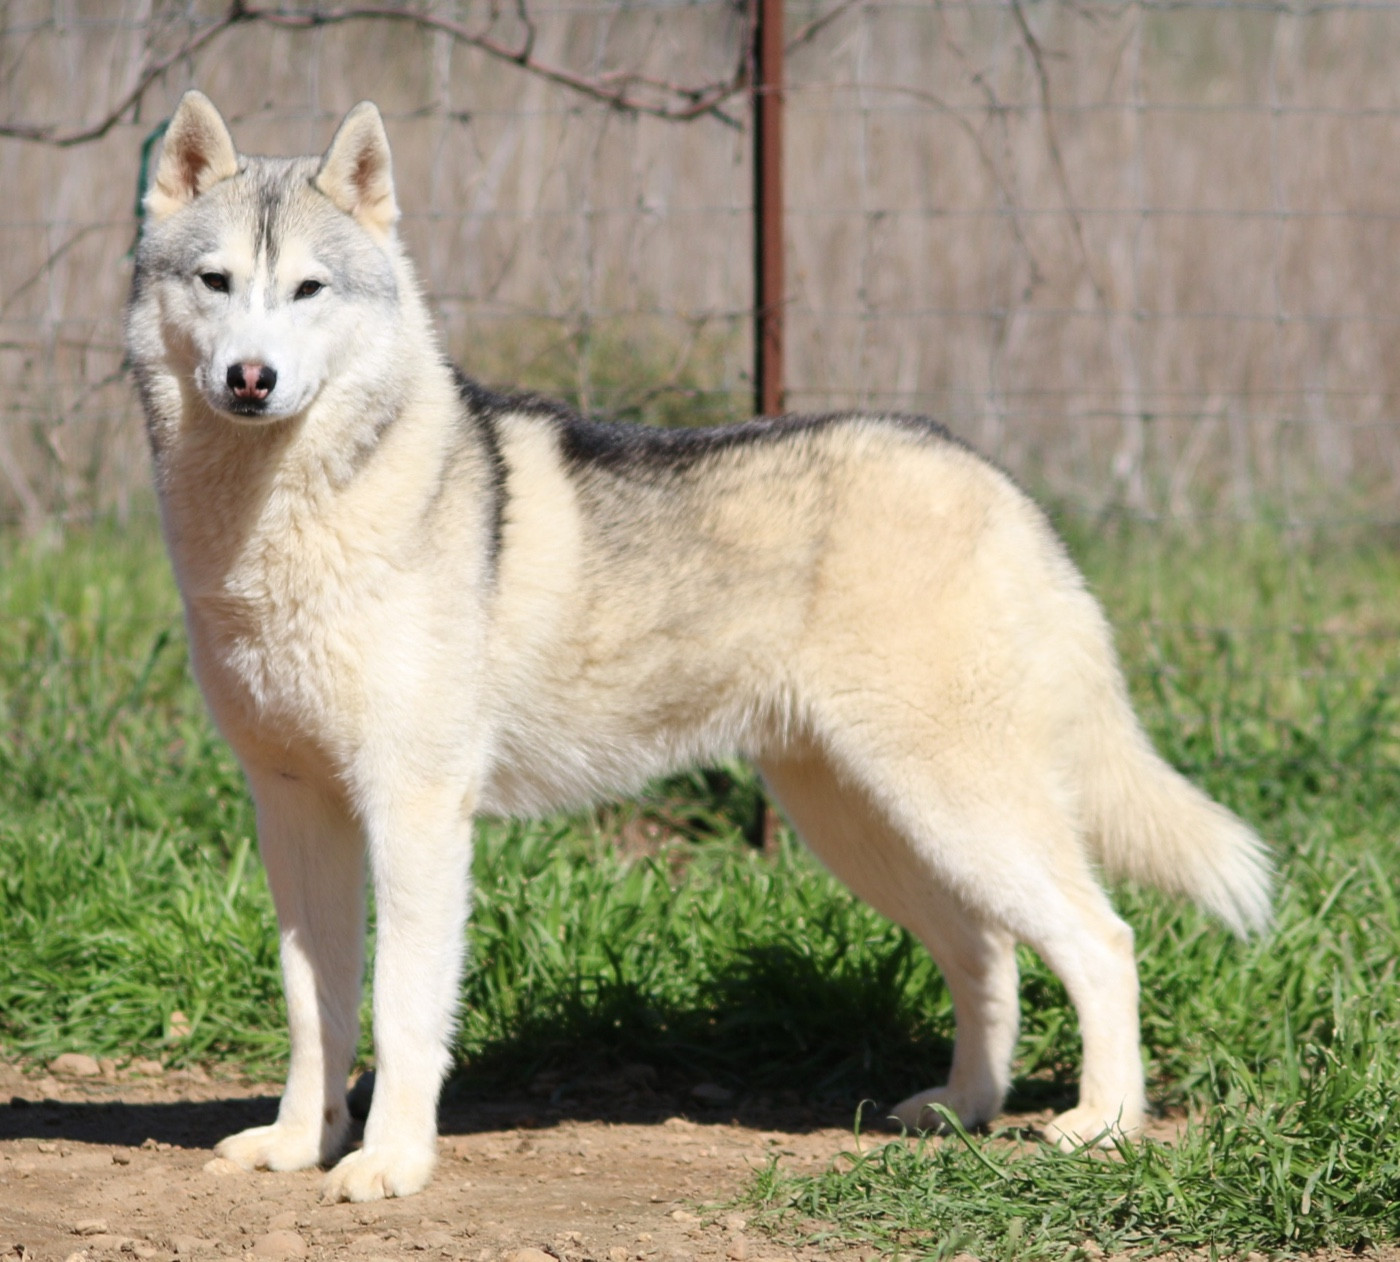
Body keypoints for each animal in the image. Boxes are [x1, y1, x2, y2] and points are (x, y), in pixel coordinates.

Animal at [125, 91, 1271, 1202]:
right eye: (217, 281)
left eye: (309, 288)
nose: (252, 377)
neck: (283, 524)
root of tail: (996, 482)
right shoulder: (295, 810)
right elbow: (313, 1006)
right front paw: (298, 1144)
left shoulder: (415, 811)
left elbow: (402, 1009)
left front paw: (390, 1164)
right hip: (867, 824)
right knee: (989, 953)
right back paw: (959, 1108)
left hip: (953, 808)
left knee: (1103, 942)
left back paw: (1103, 1126)